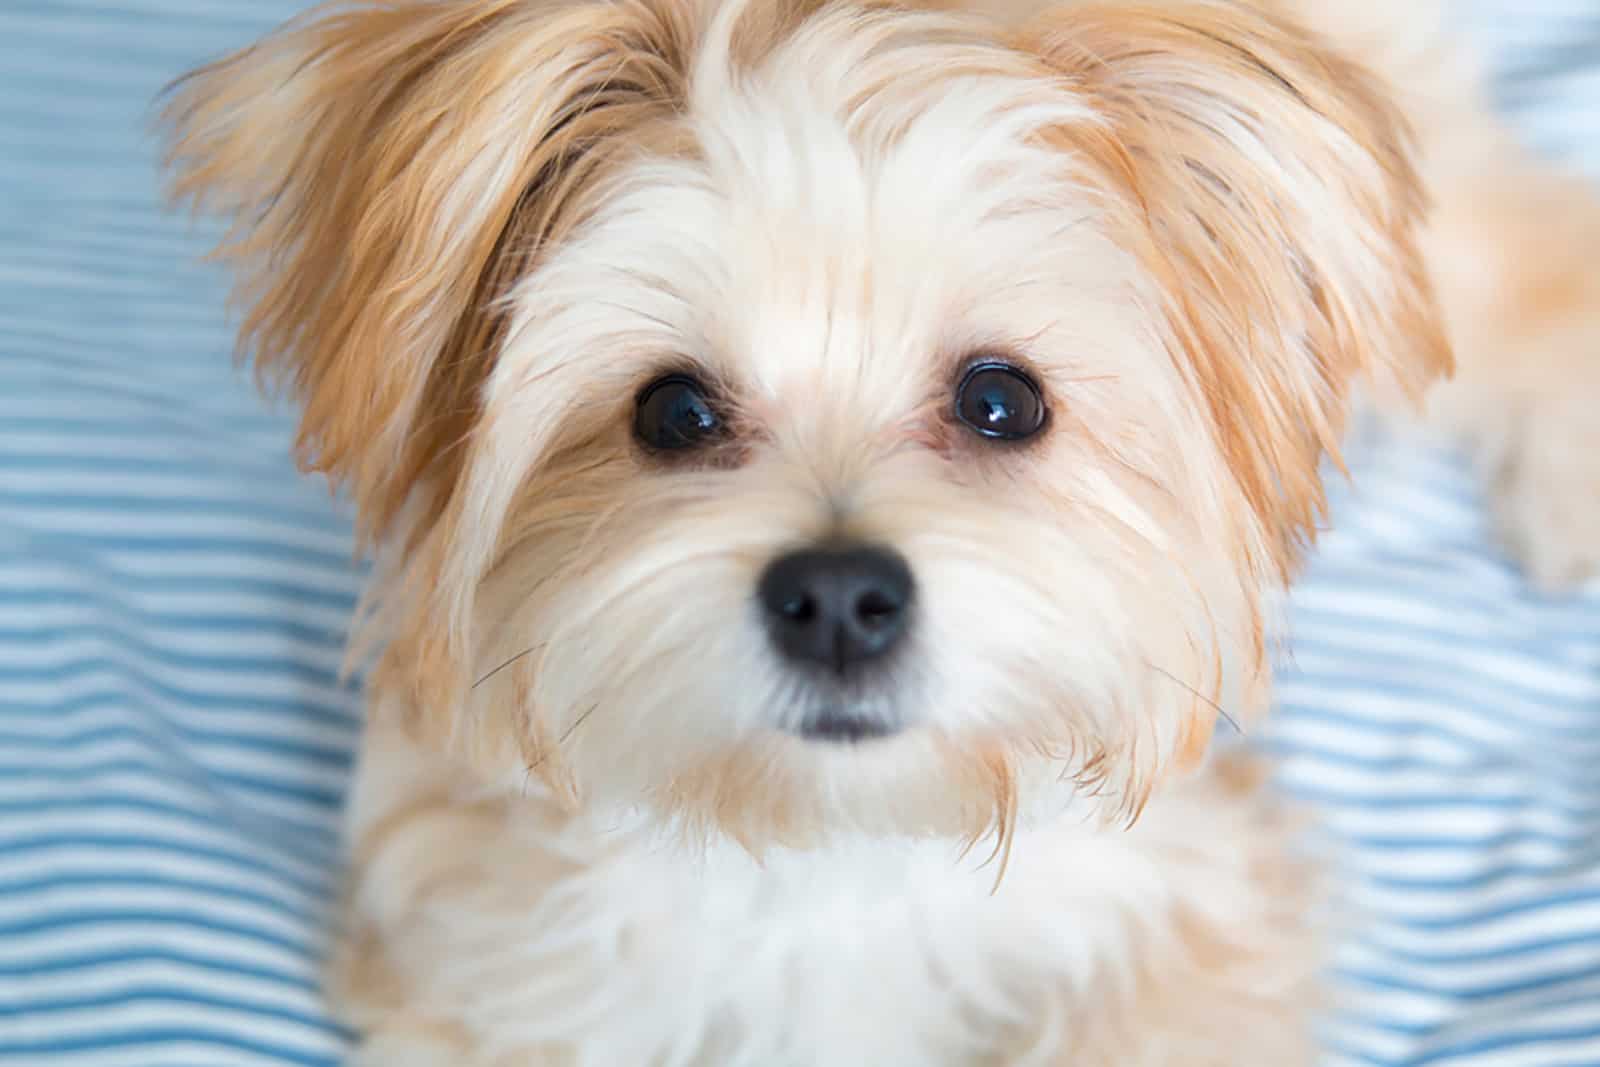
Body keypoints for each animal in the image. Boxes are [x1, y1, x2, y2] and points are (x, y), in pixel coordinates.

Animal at [162, 0, 1600, 1062]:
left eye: (1001, 400)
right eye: (673, 410)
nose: (840, 595)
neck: (828, 852)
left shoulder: (1199, 892)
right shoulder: (476, 960)